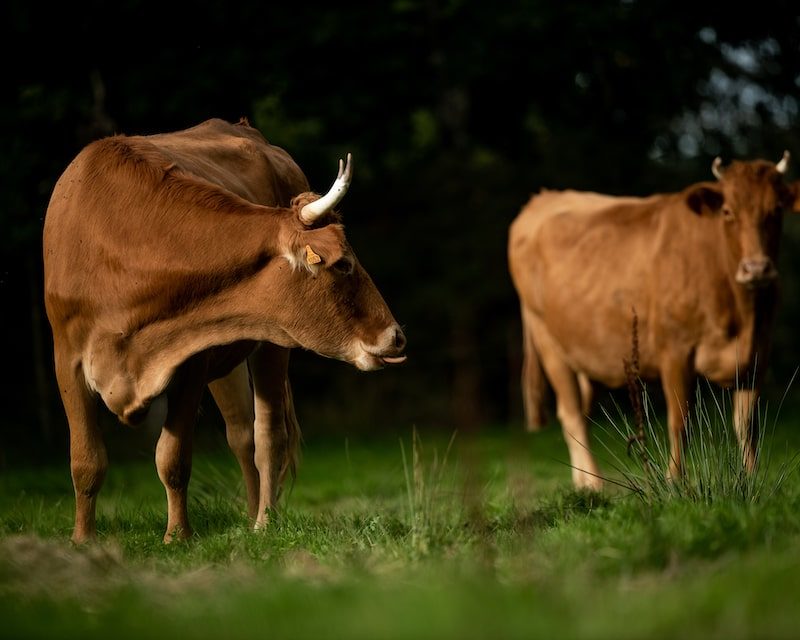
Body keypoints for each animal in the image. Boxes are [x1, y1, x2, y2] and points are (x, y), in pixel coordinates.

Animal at [43, 117, 406, 544]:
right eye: (344, 264)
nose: (395, 335)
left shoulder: (190, 360)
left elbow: (173, 457)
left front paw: (177, 536)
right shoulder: (67, 359)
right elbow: (86, 460)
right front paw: (83, 539)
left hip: (269, 343)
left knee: (268, 435)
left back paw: (265, 521)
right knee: (241, 434)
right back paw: (251, 515)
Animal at [510, 151, 796, 490]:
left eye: (776, 210)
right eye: (728, 211)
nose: (756, 269)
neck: (742, 314)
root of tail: (543, 198)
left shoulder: (757, 355)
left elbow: (747, 425)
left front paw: (751, 478)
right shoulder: (674, 351)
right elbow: (680, 420)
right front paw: (675, 481)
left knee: (580, 411)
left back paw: (582, 483)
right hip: (548, 342)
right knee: (572, 414)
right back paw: (593, 483)